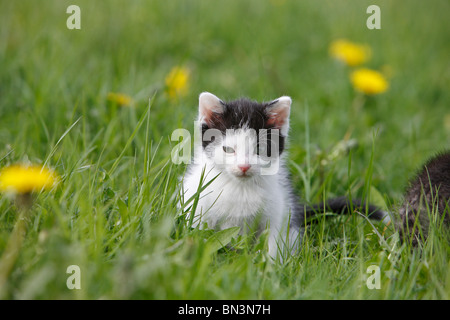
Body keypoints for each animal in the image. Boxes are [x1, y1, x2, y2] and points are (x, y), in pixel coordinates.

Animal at [179, 91, 386, 258]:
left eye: (260, 148)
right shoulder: (199, 208)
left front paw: (269, 270)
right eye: (228, 149)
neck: (241, 187)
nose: (244, 166)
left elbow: (272, 245)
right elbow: (200, 235)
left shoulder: (276, 215)